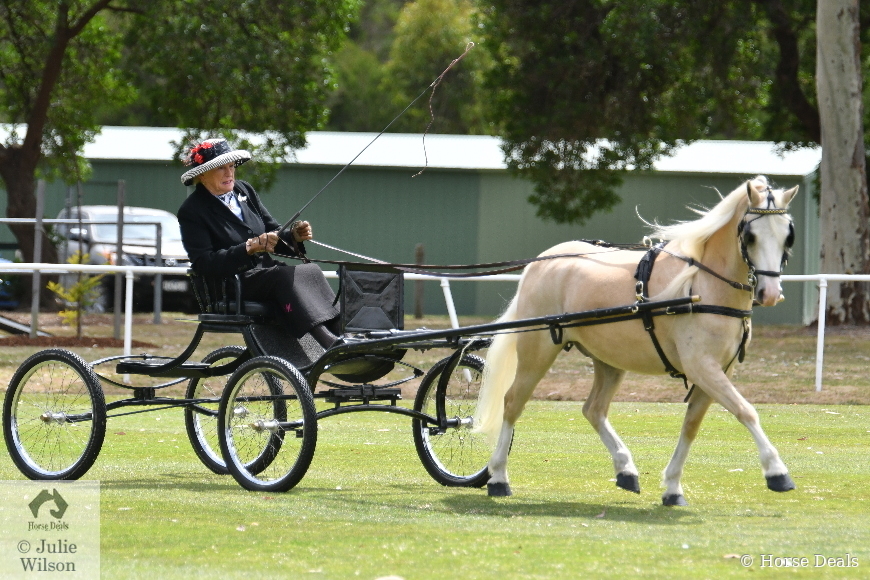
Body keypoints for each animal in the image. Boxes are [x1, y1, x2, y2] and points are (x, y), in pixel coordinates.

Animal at [476, 176, 804, 502]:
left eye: (787, 237)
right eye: (750, 236)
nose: (770, 293)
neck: (702, 287)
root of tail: (542, 261)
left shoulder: (720, 370)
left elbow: (691, 426)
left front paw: (672, 486)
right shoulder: (702, 367)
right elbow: (746, 411)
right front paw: (777, 471)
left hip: (609, 360)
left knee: (594, 409)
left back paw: (625, 469)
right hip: (538, 350)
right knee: (512, 402)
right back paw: (498, 477)